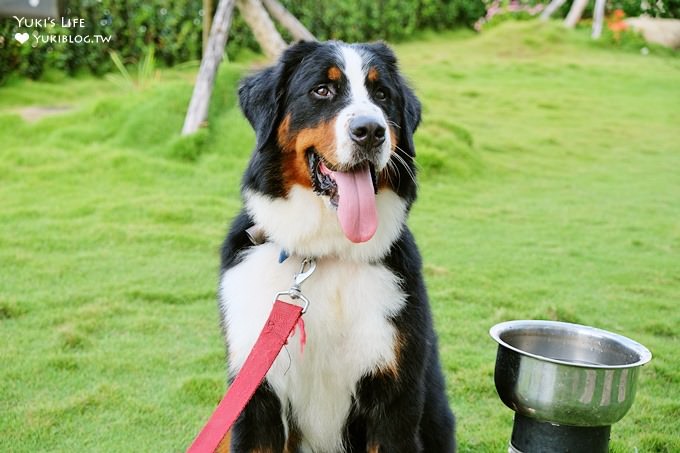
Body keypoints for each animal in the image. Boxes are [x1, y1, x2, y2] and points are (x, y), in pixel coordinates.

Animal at [216, 40, 456, 450]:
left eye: (382, 94)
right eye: (322, 90)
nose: (371, 130)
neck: (328, 252)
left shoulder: (394, 402)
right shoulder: (259, 400)